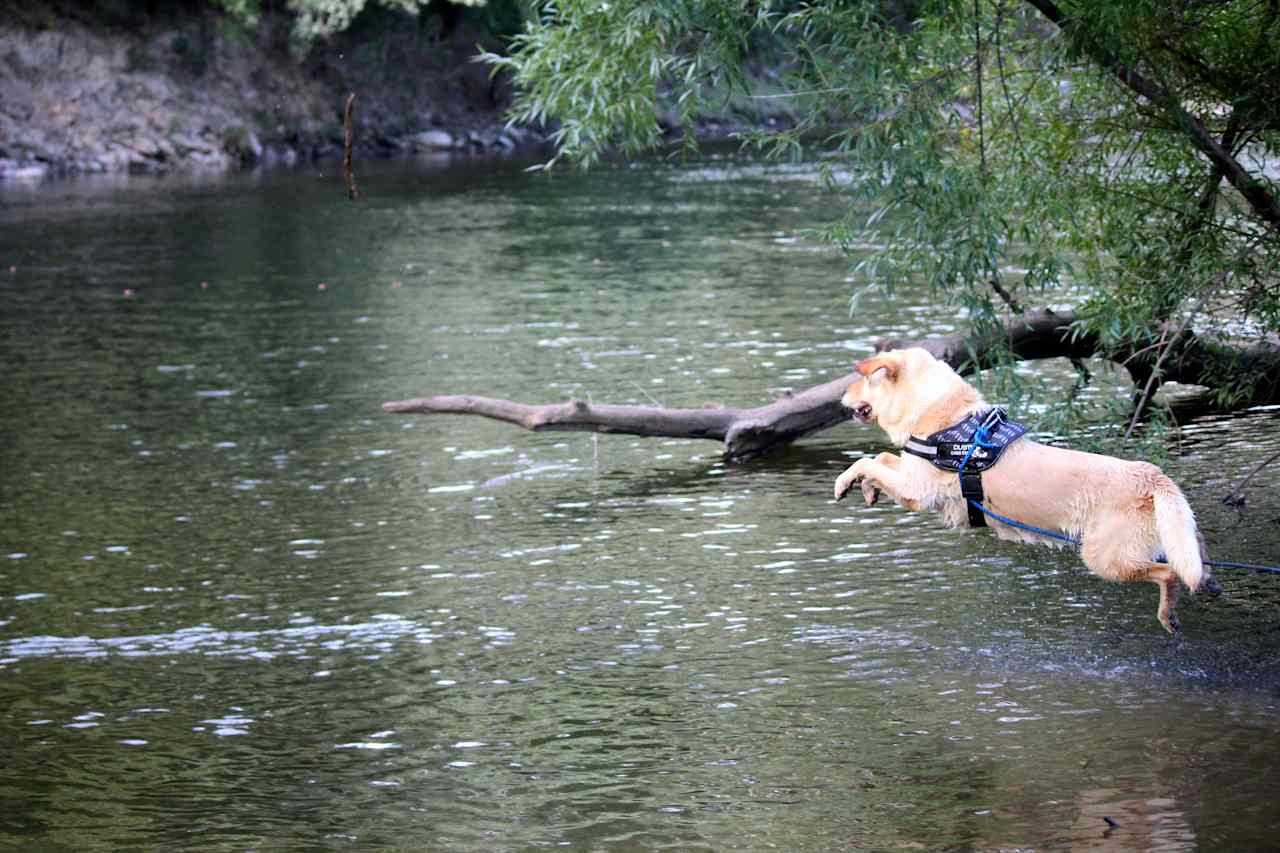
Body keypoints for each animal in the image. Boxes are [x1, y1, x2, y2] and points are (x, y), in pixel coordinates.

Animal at [834, 345, 1213, 630]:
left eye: (863, 378)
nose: (841, 396)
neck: (944, 415)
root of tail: (1150, 476)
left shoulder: (915, 490)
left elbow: (867, 460)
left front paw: (846, 482)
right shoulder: (909, 473)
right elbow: (882, 458)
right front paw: (866, 488)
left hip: (1105, 557)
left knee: (1169, 574)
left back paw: (1169, 614)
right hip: (1170, 534)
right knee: (1193, 555)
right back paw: (1210, 582)